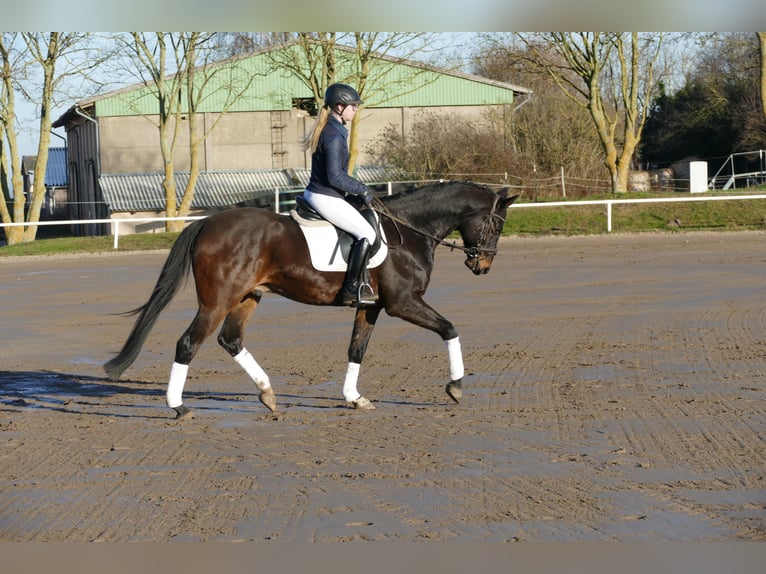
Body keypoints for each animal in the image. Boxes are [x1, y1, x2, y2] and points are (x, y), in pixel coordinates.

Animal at [103, 180, 518, 419]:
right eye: (497, 224)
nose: (482, 265)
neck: (411, 231)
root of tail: (207, 222)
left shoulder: (371, 307)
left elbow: (356, 350)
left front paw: (354, 398)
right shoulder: (404, 303)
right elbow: (449, 329)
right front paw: (456, 386)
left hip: (247, 296)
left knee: (230, 340)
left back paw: (267, 394)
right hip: (216, 301)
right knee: (189, 343)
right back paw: (179, 407)